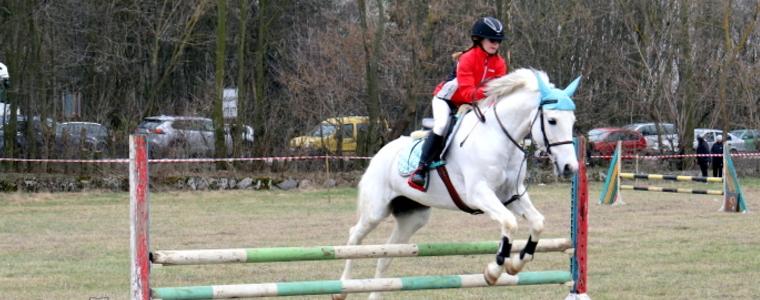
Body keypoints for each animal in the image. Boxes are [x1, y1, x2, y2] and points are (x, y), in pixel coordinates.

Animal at [334, 68, 580, 300]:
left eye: (572, 122)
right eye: (552, 120)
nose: (570, 167)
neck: (497, 137)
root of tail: (380, 153)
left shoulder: (511, 195)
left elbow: (537, 222)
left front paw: (516, 263)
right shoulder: (479, 194)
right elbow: (509, 224)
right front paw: (494, 270)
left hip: (412, 218)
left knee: (387, 253)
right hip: (376, 210)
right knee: (355, 236)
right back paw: (341, 289)